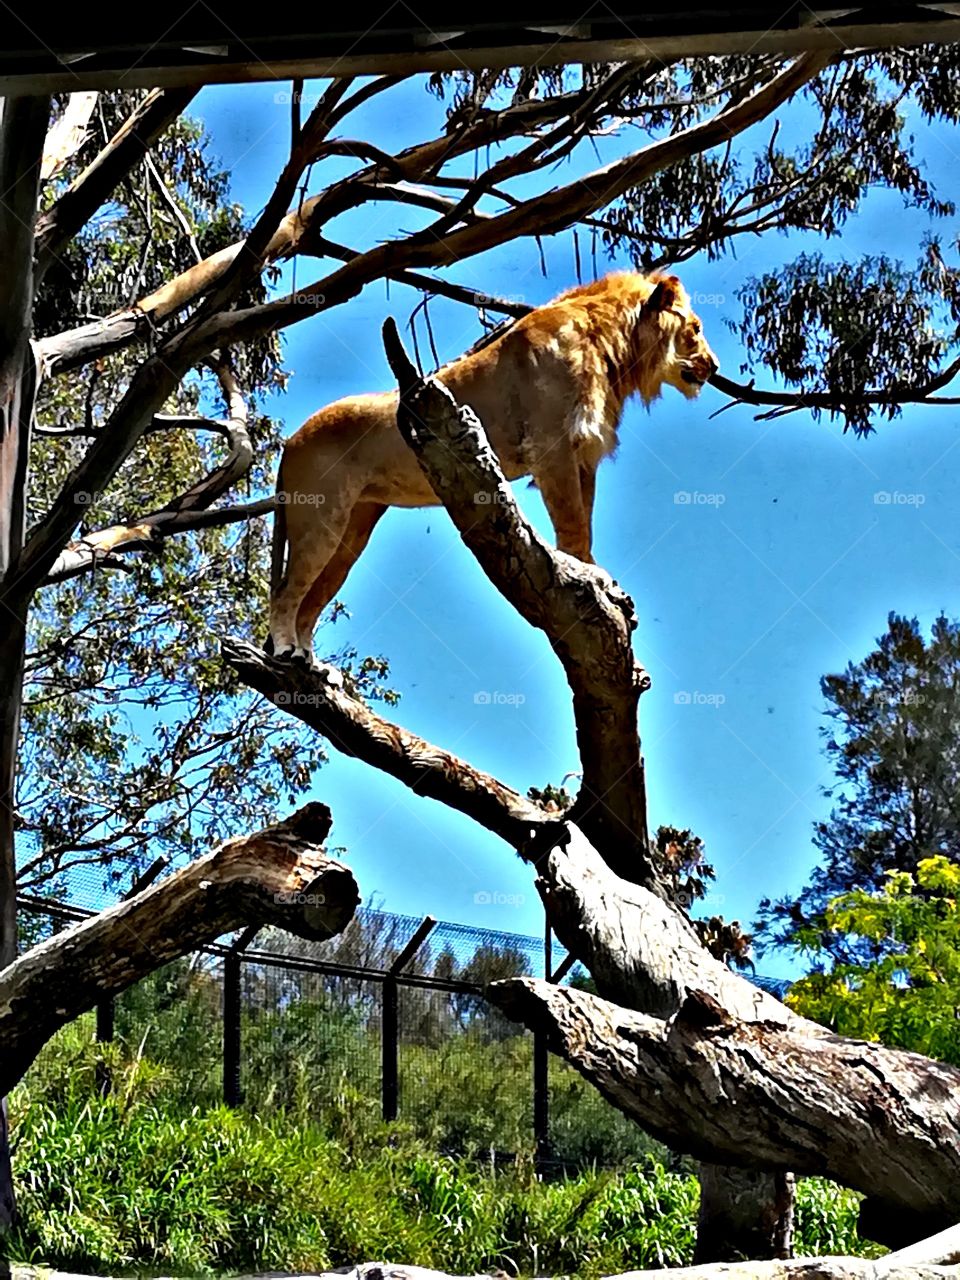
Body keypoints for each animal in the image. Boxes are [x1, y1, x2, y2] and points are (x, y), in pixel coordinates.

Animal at [269, 270, 719, 659]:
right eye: (695, 329)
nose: (713, 367)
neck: (613, 348)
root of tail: (289, 441)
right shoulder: (552, 448)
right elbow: (572, 524)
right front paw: (588, 575)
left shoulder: (582, 454)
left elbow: (585, 525)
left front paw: (594, 572)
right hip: (320, 518)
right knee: (286, 591)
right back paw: (287, 651)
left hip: (353, 530)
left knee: (311, 601)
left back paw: (316, 668)